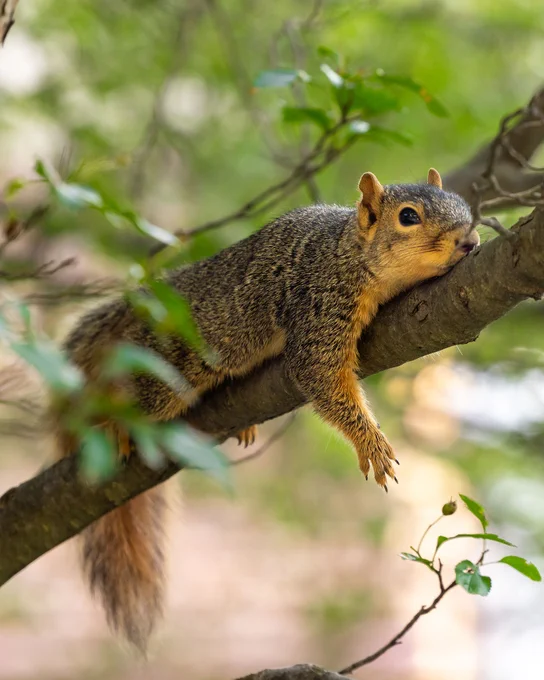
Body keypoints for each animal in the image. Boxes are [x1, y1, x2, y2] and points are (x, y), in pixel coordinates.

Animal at [55, 168, 479, 651]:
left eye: (463, 206)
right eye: (408, 217)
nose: (469, 241)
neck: (349, 251)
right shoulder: (321, 303)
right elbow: (319, 375)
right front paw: (370, 441)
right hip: (169, 366)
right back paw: (115, 422)